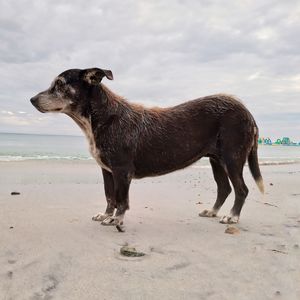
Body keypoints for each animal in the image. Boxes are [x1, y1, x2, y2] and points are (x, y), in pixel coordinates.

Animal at [30, 67, 264, 227]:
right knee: (224, 188)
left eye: (60, 84)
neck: (102, 117)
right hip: (216, 160)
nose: (32, 99)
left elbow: (121, 199)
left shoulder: (122, 170)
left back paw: (232, 216)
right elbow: (109, 196)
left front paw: (116, 219)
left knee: (241, 189)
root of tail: (247, 112)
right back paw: (213, 211)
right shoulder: (107, 170)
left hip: (232, 158)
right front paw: (106, 214)